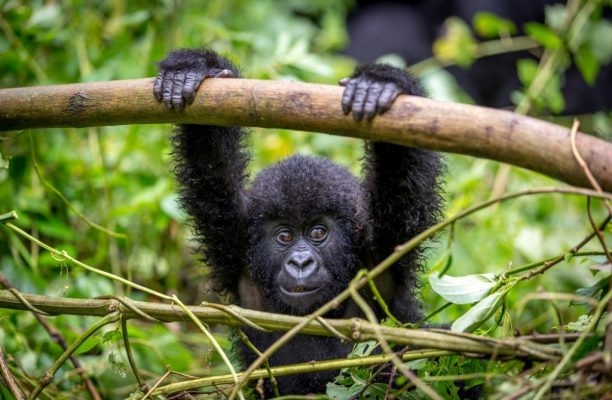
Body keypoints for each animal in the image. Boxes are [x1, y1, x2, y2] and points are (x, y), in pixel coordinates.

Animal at [153, 48, 440, 396]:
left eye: (318, 232)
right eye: (285, 236)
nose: (301, 262)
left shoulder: (384, 249)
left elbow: (403, 175)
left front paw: (382, 83)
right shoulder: (233, 242)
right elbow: (209, 164)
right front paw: (192, 70)